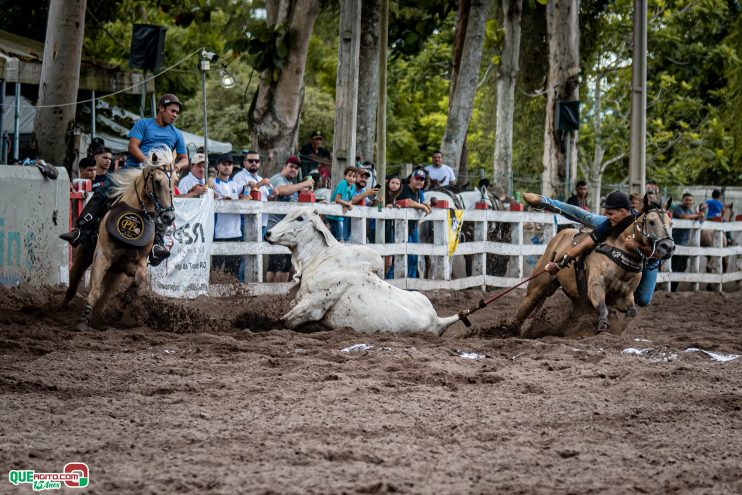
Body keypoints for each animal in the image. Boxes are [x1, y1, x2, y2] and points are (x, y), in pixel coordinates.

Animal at [64, 145, 179, 328]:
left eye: (175, 180)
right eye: (157, 181)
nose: (168, 217)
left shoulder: (136, 265)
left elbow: (141, 284)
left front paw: (121, 305)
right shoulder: (102, 256)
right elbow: (94, 290)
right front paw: (83, 320)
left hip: (116, 273)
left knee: (106, 296)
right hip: (84, 255)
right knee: (74, 282)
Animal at [264, 207, 462, 336]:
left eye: (300, 218)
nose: (268, 233)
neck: (320, 259)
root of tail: (436, 319)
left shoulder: (312, 306)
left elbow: (283, 321)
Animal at [516, 198, 676, 338]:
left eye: (671, 223)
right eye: (651, 221)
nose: (668, 247)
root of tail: (559, 235)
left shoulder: (625, 296)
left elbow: (632, 312)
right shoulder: (595, 285)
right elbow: (602, 307)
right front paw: (603, 325)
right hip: (538, 286)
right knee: (524, 310)